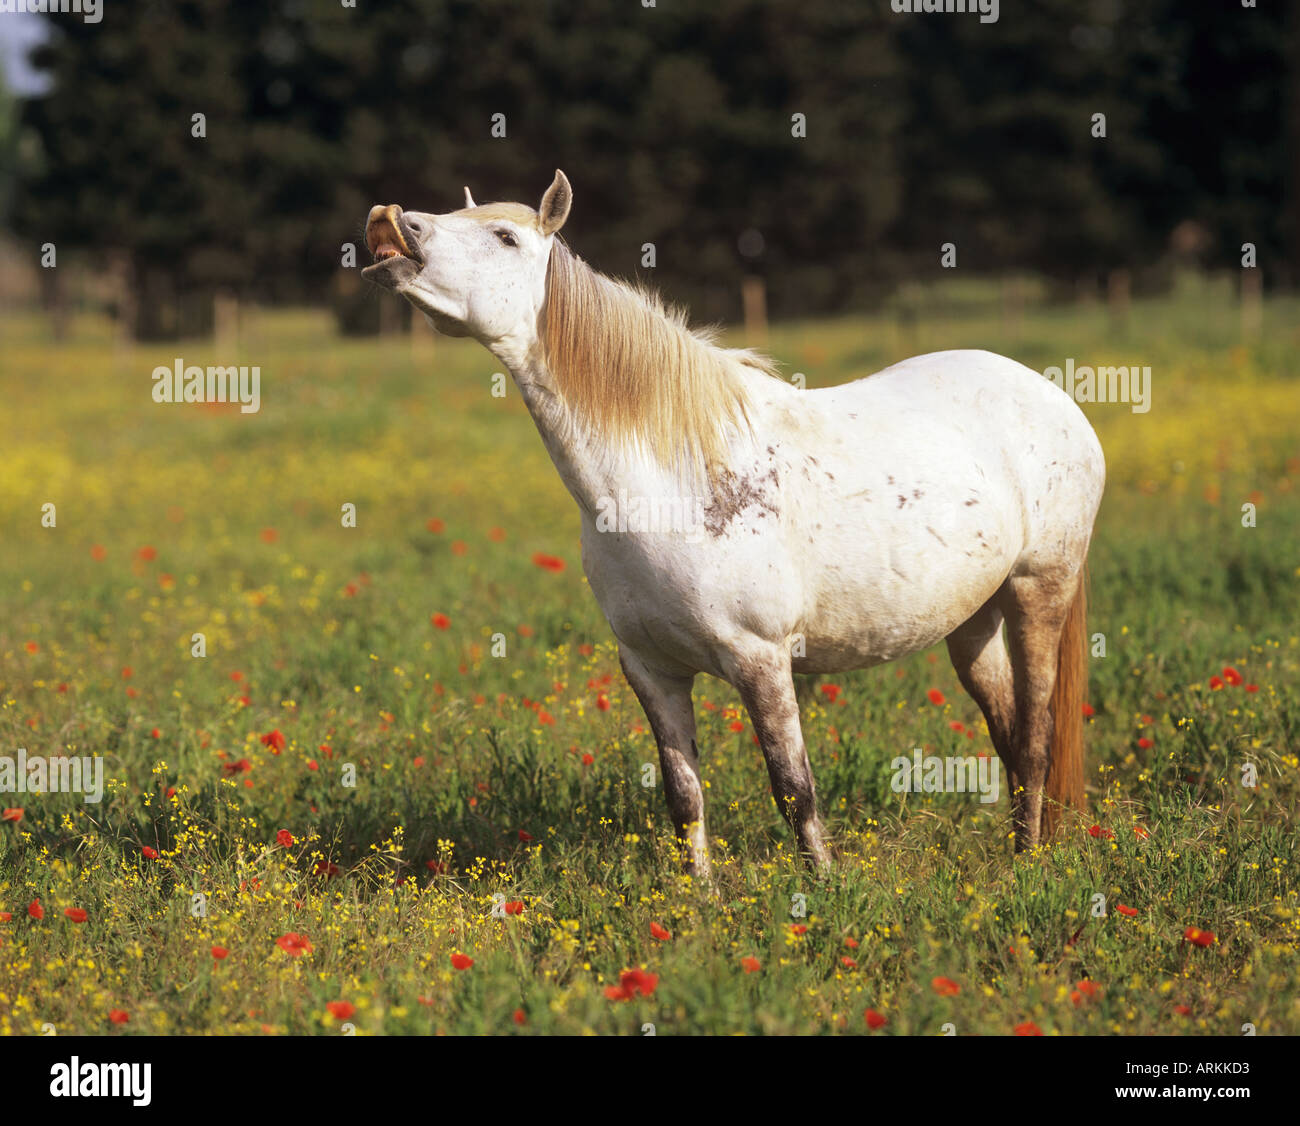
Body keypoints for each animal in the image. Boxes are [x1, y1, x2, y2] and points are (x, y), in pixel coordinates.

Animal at [361, 169, 1102, 878]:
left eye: (505, 237)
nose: (391, 222)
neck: (671, 484)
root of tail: (1052, 394)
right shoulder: (652, 670)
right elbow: (683, 796)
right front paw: (703, 902)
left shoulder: (761, 660)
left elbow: (793, 788)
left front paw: (822, 890)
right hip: (971, 620)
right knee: (1008, 732)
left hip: (1038, 590)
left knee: (1036, 735)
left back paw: (1029, 864)